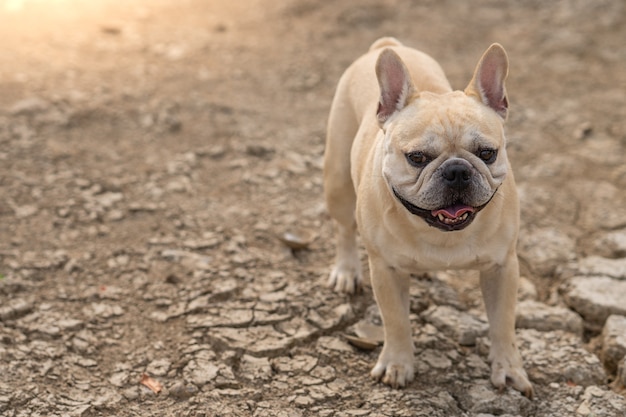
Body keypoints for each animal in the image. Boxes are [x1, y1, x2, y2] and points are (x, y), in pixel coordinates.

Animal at [322, 38, 532, 396]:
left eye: (487, 153)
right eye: (417, 158)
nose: (457, 170)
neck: (442, 233)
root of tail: (387, 44)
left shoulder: (502, 268)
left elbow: (503, 323)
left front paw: (508, 369)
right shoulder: (386, 270)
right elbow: (395, 320)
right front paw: (397, 364)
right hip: (337, 181)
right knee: (344, 230)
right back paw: (347, 271)